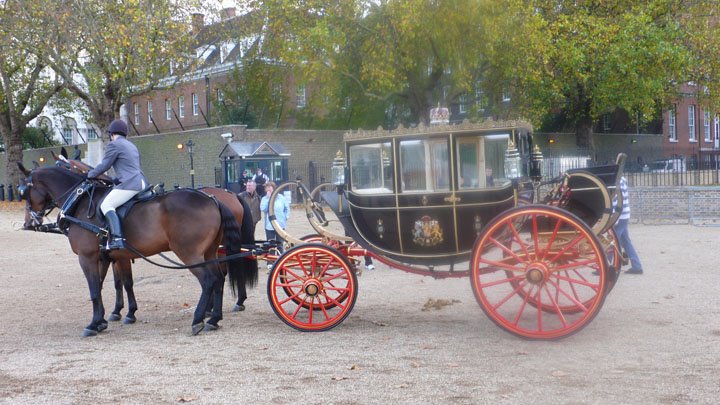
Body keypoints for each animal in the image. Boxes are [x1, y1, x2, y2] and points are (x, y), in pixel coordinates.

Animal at [19, 162, 258, 334]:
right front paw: (114, 316)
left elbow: (97, 288)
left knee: (209, 280)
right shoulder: (111, 257)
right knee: (218, 279)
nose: (29, 222)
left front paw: (97, 322)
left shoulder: (89, 257)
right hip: (210, 252)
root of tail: (213, 198)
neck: (81, 203)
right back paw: (214, 318)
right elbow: (117, 284)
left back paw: (200, 318)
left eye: (24, 191)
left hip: (190, 253)